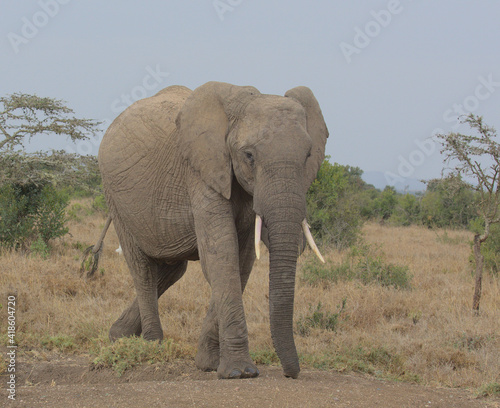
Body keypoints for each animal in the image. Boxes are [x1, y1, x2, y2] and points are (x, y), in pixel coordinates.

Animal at [88, 82, 328, 380]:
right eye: (249, 156)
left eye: (308, 156)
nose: (291, 373)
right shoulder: (201, 171)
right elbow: (222, 256)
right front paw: (240, 372)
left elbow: (241, 261)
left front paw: (209, 364)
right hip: (114, 195)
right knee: (142, 268)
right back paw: (152, 344)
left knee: (171, 270)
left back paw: (119, 335)